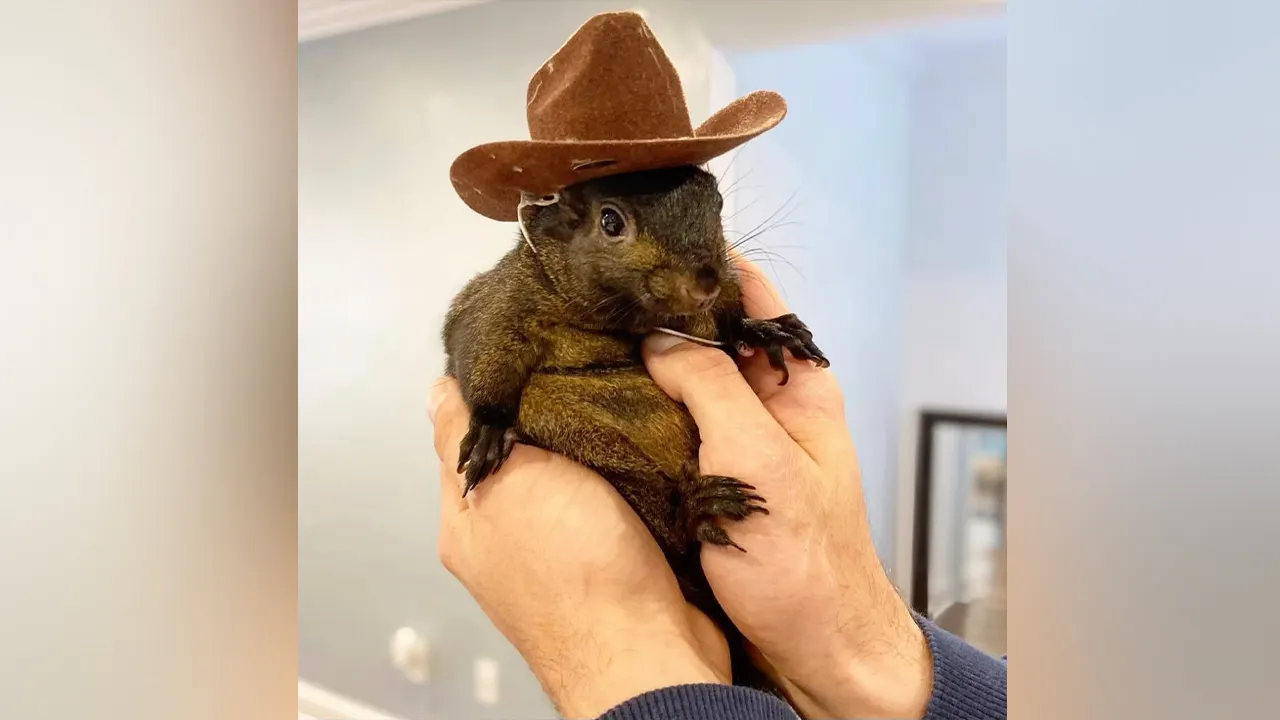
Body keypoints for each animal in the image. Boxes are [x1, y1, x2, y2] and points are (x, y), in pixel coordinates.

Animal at [441, 164, 829, 695]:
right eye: (610, 221)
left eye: (717, 203)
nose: (705, 281)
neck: (626, 319)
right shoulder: (498, 304)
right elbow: (482, 348)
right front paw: (489, 427)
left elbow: (729, 323)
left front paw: (765, 330)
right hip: (585, 441)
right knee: (671, 530)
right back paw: (694, 510)